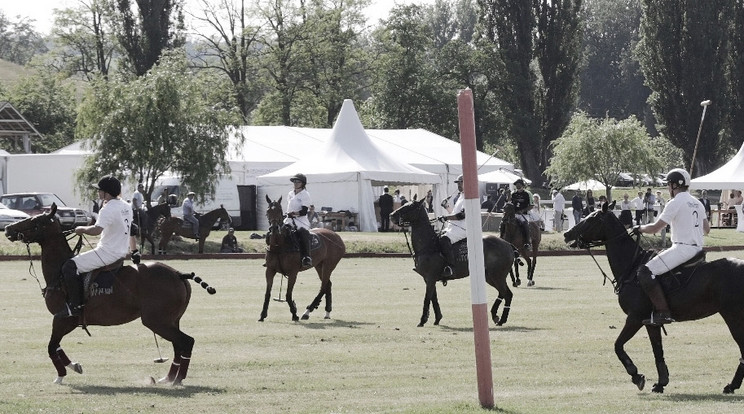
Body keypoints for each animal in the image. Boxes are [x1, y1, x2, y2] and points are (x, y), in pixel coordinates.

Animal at [5, 203, 215, 384]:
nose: (7, 228)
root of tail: (179, 274)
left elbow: (51, 347)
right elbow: (55, 346)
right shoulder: (65, 321)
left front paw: (61, 374)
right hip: (171, 320)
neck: (59, 275)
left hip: (156, 320)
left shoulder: (64, 318)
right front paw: (75, 366)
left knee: (186, 342)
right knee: (178, 345)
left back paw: (177, 379)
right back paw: (169, 378)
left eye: (35, 221)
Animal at [386, 200, 516, 326]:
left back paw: (502, 319)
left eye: (409, 207)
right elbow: (434, 298)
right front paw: (437, 318)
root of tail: (508, 244)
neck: (428, 245)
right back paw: (495, 316)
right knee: (503, 293)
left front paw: (422, 320)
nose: (391, 215)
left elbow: (427, 298)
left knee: (507, 294)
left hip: (497, 275)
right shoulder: (428, 279)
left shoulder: (430, 277)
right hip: (489, 276)